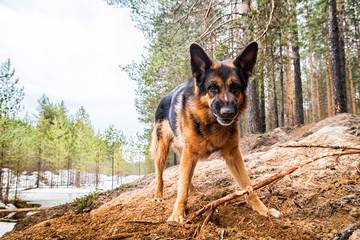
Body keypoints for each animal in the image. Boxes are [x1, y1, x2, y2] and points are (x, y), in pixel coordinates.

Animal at [150, 42, 280, 222]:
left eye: (235, 87)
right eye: (213, 87)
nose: (227, 113)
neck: (210, 123)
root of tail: (163, 98)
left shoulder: (232, 154)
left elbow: (248, 185)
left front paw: (262, 209)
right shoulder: (190, 154)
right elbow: (181, 189)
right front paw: (177, 215)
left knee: (185, 177)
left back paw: (193, 191)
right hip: (163, 150)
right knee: (160, 175)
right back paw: (158, 195)